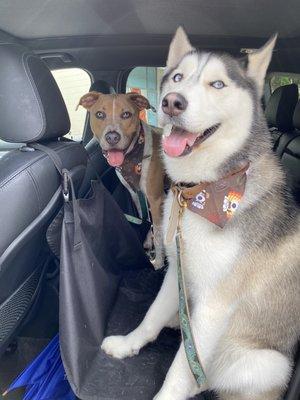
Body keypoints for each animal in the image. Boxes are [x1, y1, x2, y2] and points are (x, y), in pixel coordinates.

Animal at [78, 91, 165, 268]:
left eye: (126, 114)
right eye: (99, 114)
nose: (112, 137)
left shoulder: (155, 199)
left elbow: (159, 234)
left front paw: (158, 262)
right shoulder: (135, 194)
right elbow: (145, 218)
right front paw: (147, 238)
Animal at [101, 26, 300, 398]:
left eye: (217, 84)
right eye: (178, 77)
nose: (171, 101)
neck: (203, 192)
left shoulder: (214, 306)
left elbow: (182, 368)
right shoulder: (178, 270)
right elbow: (151, 317)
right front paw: (127, 344)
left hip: (269, 363)